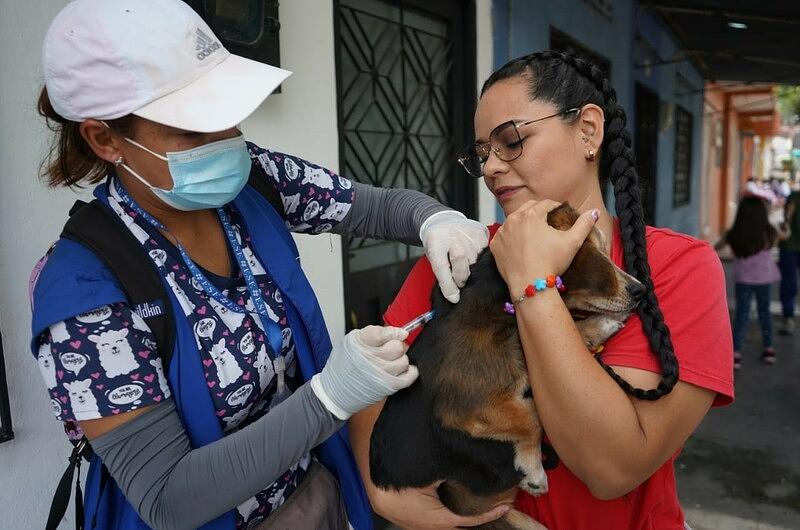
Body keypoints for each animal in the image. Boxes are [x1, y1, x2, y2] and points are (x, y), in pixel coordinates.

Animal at [368, 204, 644, 528]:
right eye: (598, 254)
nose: (641, 290)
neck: (498, 304)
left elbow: (561, 336)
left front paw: (598, 327)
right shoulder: (467, 406)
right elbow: (532, 417)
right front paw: (533, 470)